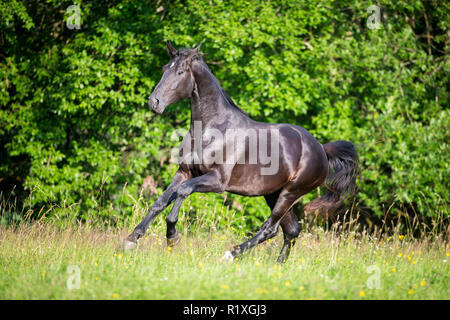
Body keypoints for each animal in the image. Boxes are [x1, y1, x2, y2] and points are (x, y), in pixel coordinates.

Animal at [123, 42, 358, 262]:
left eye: (180, 71)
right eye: (165, 68)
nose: (154, 102)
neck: (212, 130)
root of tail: (322, 150)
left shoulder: (217, 181)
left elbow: (183, 191)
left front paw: (173, 236)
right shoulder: (184, 172)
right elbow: (160, 202)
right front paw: (132, 239)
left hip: (291, 193)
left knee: (270, 228)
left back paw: (231, 254)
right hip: (273, 193)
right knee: (291, 231)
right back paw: (277, 266)